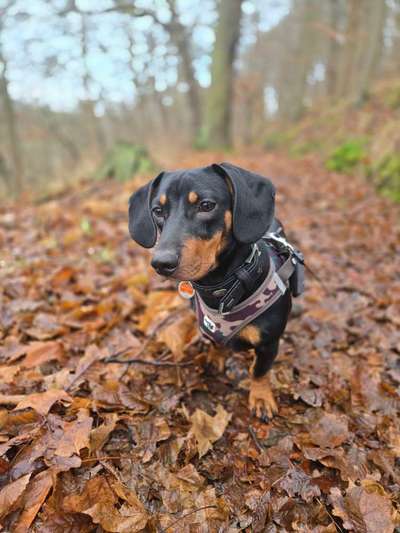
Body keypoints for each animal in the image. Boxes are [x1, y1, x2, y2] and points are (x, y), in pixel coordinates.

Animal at [128, 162, 304, 420]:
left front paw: (261, 398)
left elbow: (259, 371)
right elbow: (214, 341)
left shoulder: (269, 343)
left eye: (206, 205)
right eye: (158, 210)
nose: (161, 263)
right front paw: (214, 356)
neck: (223, 288)